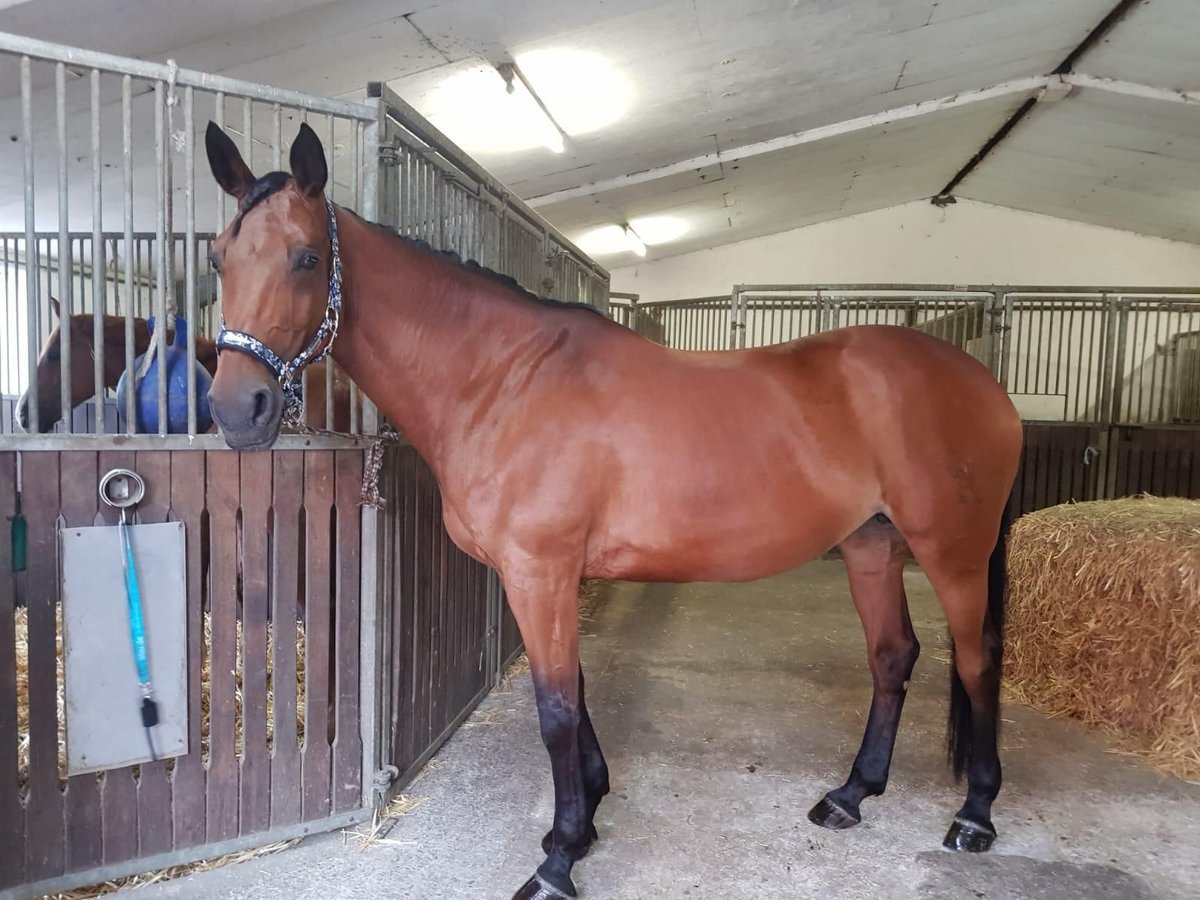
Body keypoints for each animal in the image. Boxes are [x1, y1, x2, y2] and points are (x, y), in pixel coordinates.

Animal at [204, 121, 1022, 900]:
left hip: (952, 550)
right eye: (218, 259)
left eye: (308, 257)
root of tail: (983, 382)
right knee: (892, 655)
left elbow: (556, 708)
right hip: (870, 543)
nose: (238, 410)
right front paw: (587, 814)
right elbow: (575, 688)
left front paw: (558, 859)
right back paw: (852, 794)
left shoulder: (539, 572)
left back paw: (975, 816)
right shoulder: (546, 578)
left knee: (978, 657)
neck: (503, 380)